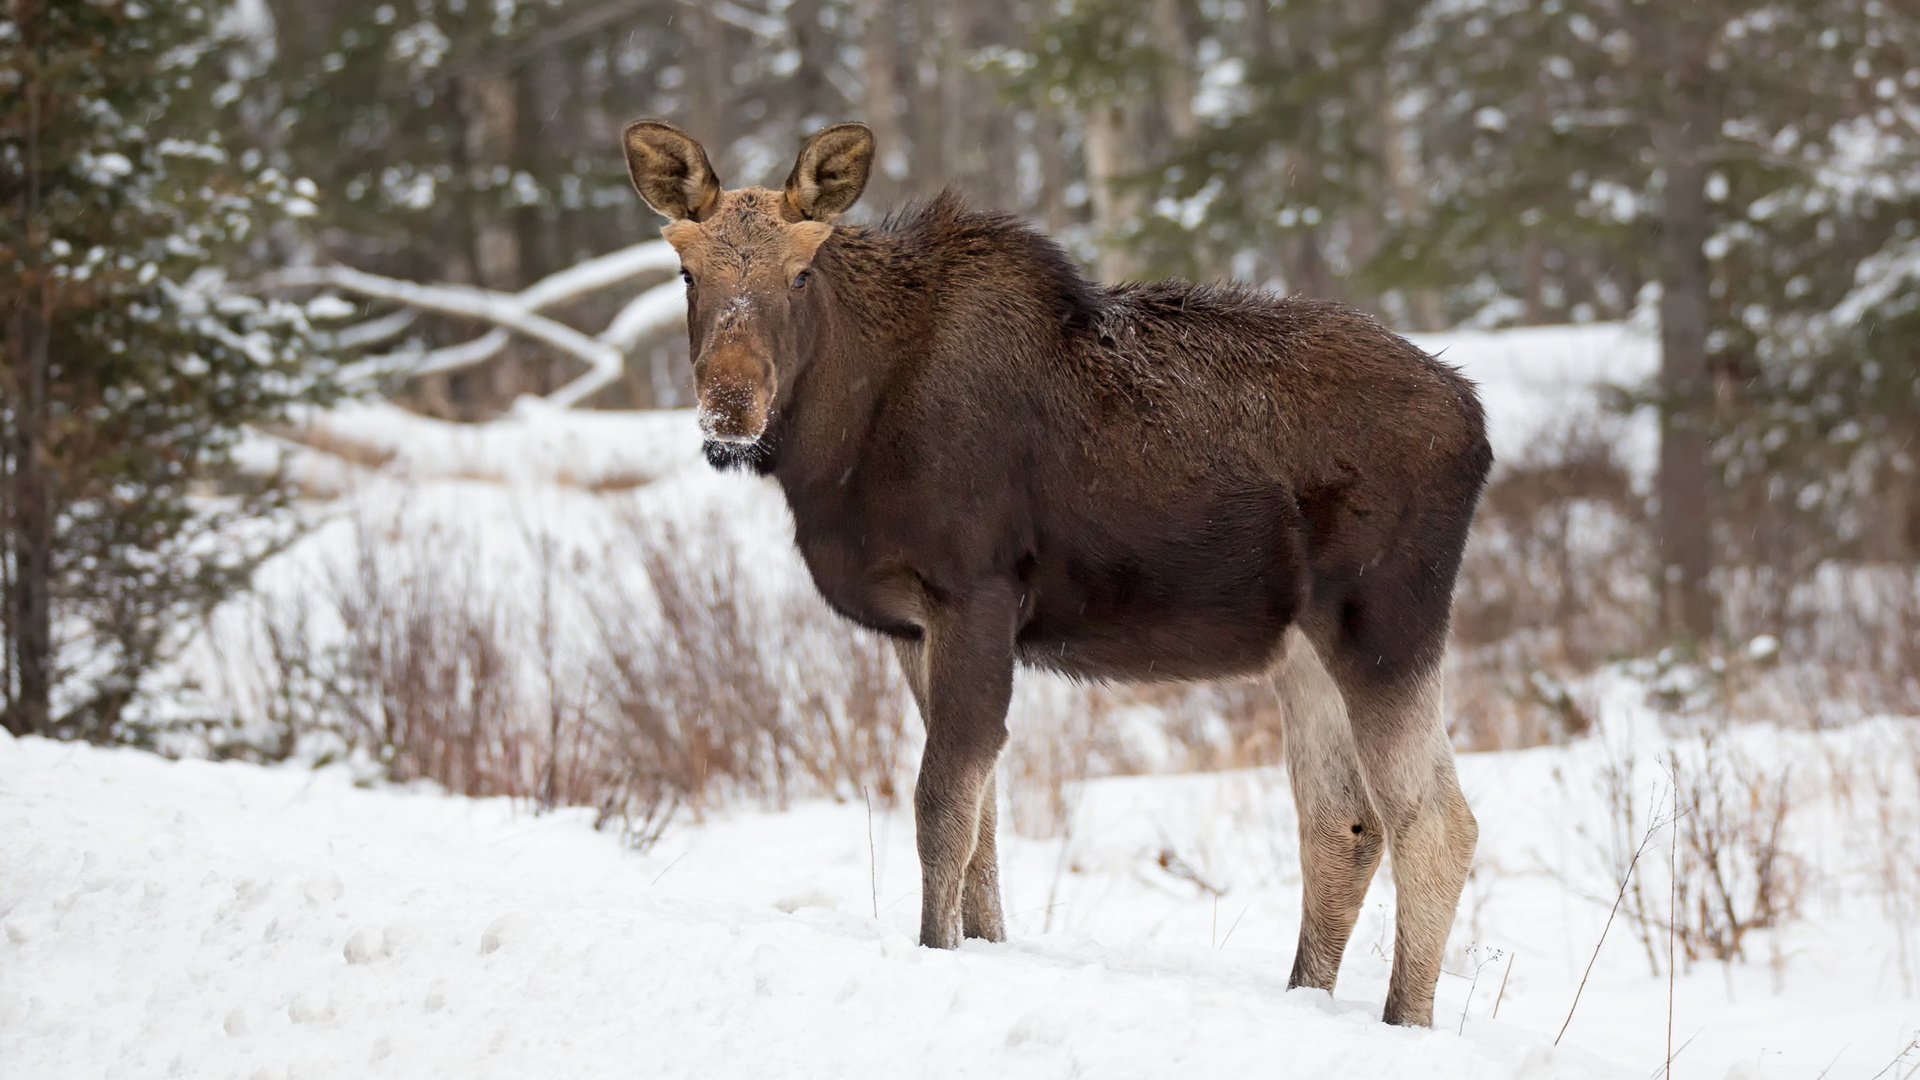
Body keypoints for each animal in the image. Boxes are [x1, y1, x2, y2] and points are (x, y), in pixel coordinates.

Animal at [622, 117, 1489, 1022]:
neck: (841, 442)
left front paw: (936, 948)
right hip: (1303, 648)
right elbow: (983, 822)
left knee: (1436, 822)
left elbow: (943, 806)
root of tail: (1478, 422)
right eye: (687, 271)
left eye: (799, 272)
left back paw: (1403, 1020)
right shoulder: (910, 625)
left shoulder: (973, 591)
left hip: (1383, 621)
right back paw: (1306, 995)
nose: (729, 407)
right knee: (1342, 823)